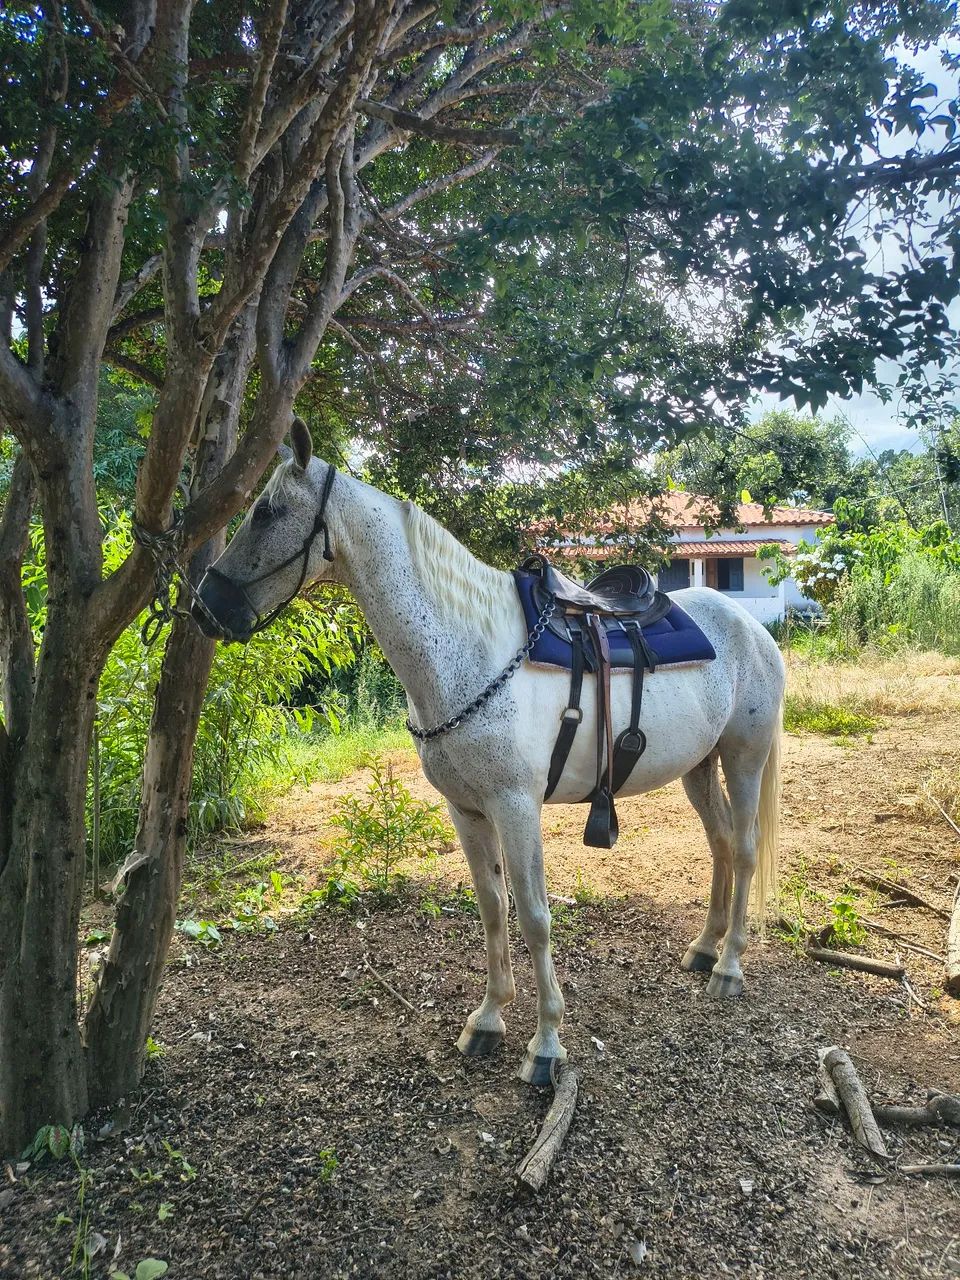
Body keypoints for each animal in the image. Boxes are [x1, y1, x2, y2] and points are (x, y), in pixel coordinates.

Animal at [194, 420, 785, 1086]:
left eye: (267, 511)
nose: (204, 605)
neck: (467, 649)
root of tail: (752, 627)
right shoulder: (468, 810)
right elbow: (492, 908)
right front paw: (489, 1019)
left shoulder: (515, 806)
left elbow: (533, 915)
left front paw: (546, 1044)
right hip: (698, 769)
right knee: (720, 845)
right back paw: (704, 948)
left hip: (743, 758)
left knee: (743, 849)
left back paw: (729, 967)